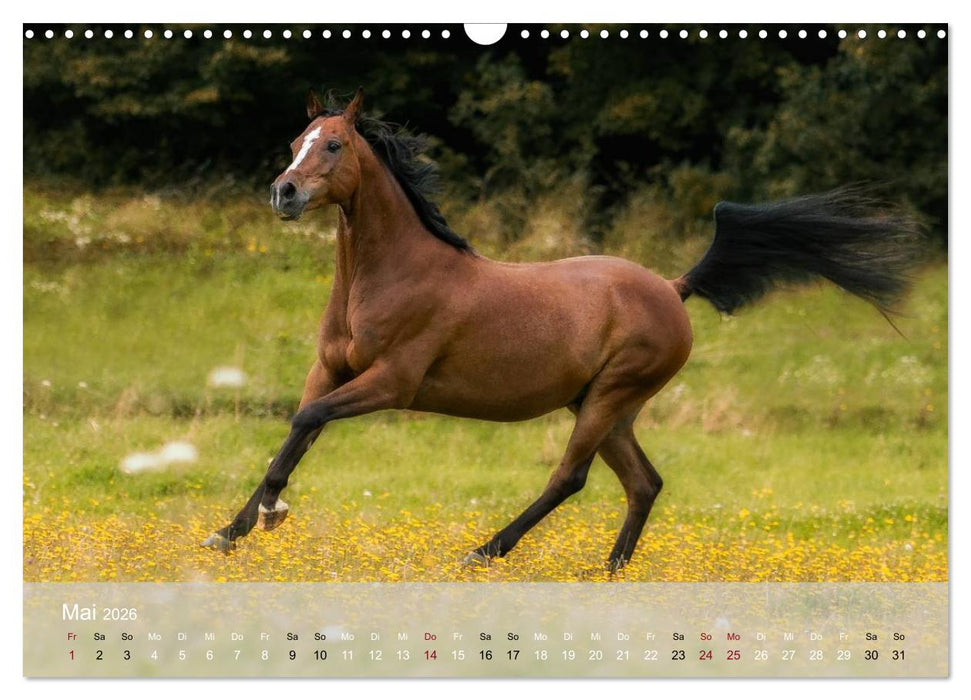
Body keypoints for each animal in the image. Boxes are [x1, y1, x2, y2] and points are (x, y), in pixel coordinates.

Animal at [202, 88, 919, 571]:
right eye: (293, 143)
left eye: (333, 144)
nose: (284, 193)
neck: (387, 275)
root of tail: (673, 287)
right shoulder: (330, 370)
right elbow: (298, 431)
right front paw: (230, 531)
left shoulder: (392, 383)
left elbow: (305, 422)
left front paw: (270, 515)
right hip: (607, 405)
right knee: (644, 483)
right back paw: (608, 572)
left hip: (610, 396)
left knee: (569, 478)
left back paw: (486, 551)